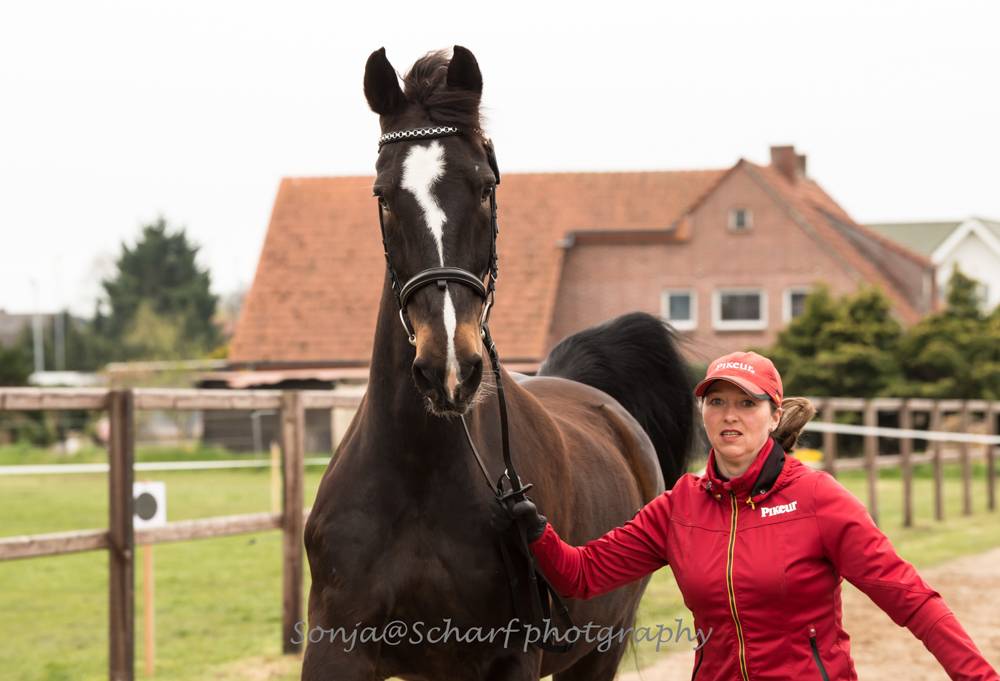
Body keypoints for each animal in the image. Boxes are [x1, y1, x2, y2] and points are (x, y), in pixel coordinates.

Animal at [301, 46, 694, 681]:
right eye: (383, 195)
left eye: (484, 187)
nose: (448, 369)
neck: (418, 473)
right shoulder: (336, 648)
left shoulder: (510, 657)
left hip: (600, 649)